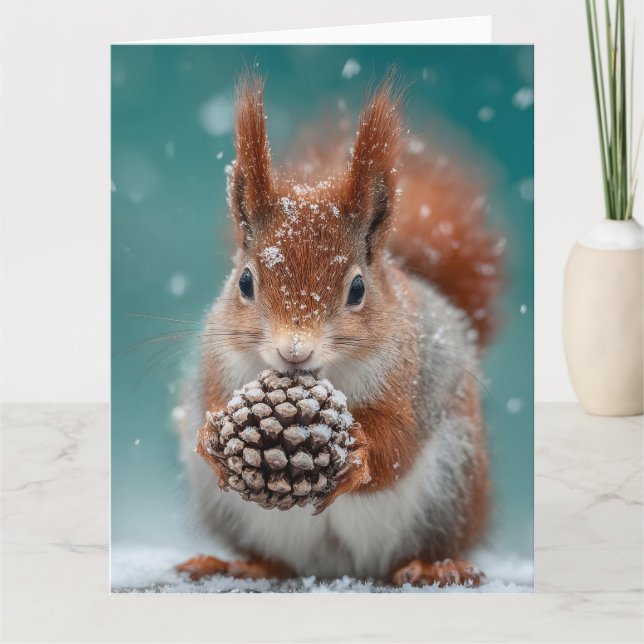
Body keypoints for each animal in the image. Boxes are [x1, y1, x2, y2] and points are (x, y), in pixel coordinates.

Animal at [175, 73, 504, 587]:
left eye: (357, 289)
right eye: (245, 281)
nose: (294, 352)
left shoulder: (411, 379)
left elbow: (398, 442)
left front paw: (361, 452)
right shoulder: (219, 362)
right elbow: (211, 401)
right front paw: (211, 436)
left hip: (452, 481)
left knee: (424, 544)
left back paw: (434, 566)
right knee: (275, 560)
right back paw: (242, 563)